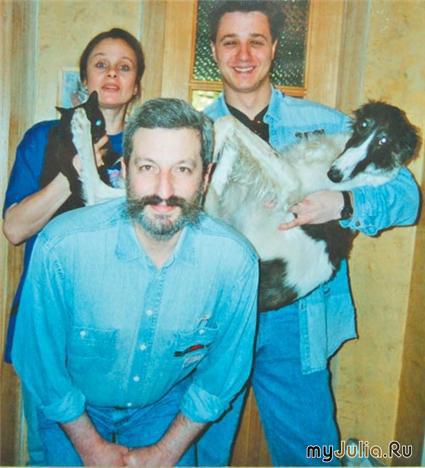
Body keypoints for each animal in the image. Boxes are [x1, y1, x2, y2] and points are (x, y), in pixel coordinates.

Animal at [72, 101, 418, 310]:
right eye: (363, 128)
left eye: (384, 141)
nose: (335, 174)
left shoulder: (290, 186)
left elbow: (225, 123)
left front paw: (214, 151)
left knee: (97, 190)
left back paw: (79, 125)